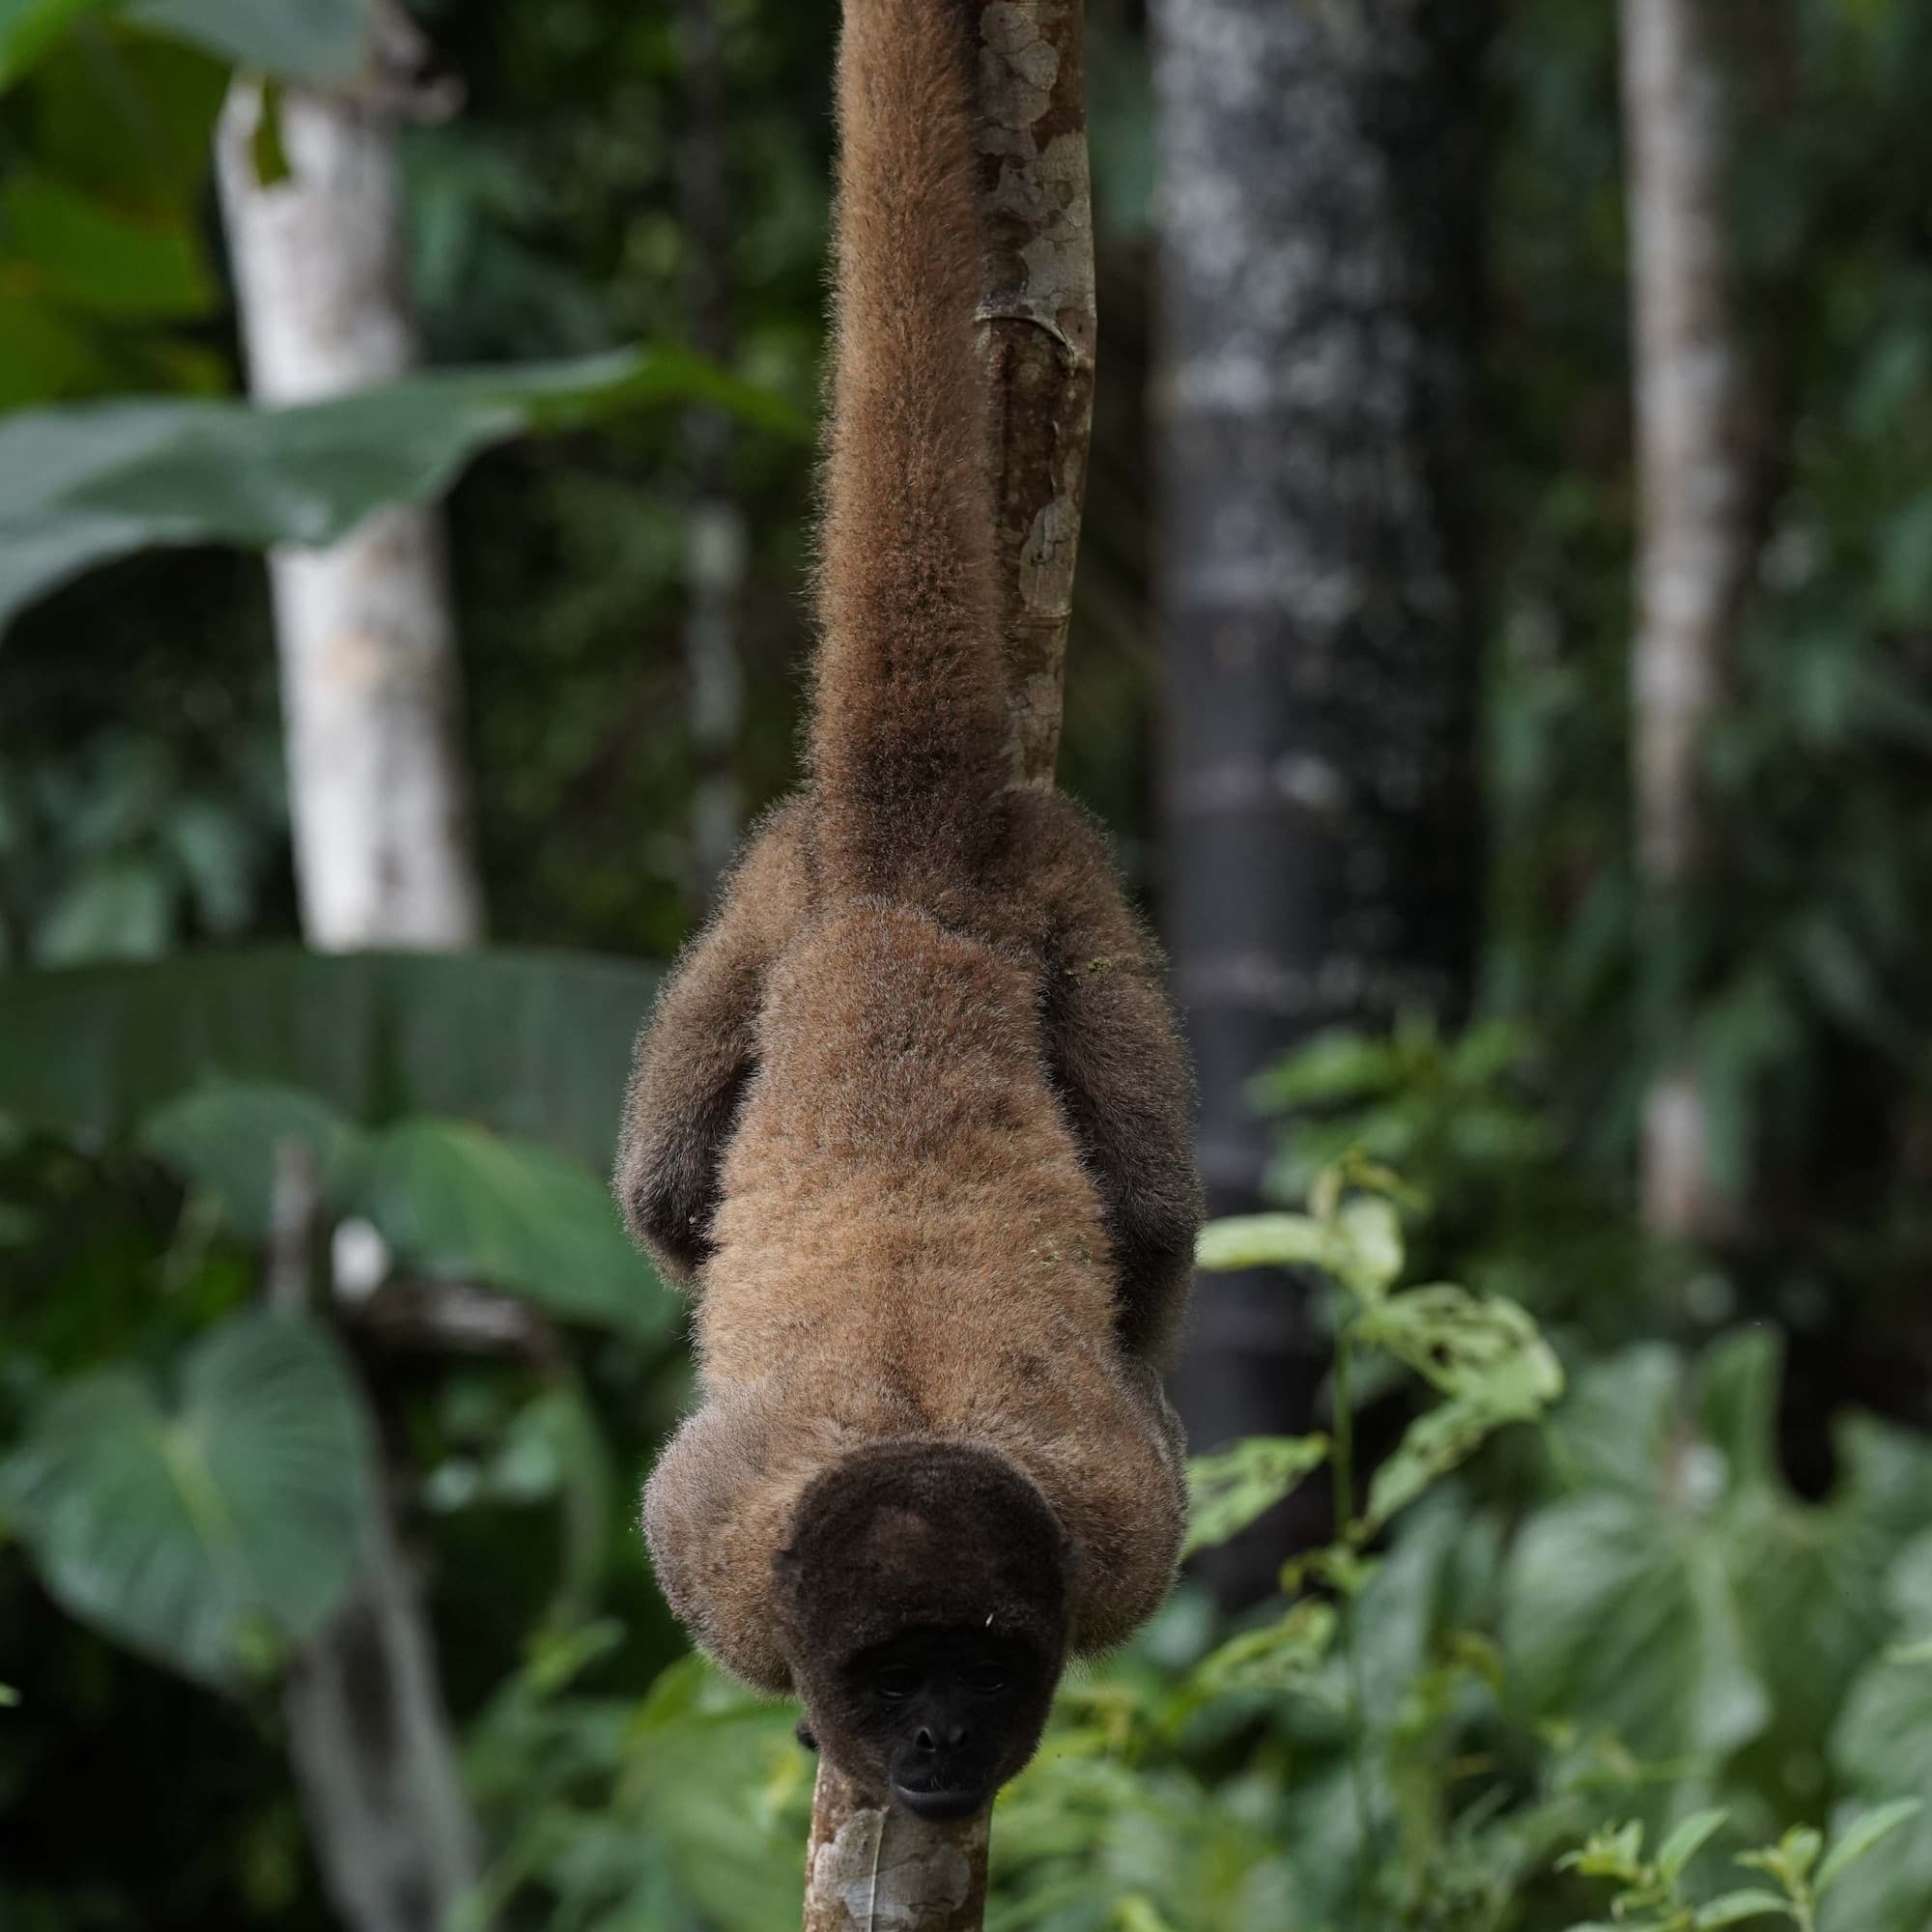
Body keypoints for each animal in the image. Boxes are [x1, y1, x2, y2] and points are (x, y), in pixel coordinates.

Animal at [616, 0, 1201, 1817]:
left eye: (985, 1665)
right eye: (895, 1673)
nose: (940, 1745)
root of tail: (907, 870)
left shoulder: (1115, 1538)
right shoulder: (718, 1556)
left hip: (972, 879)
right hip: (858, 877)